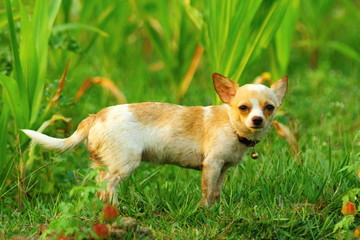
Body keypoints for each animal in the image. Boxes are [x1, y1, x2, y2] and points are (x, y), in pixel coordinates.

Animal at [21, 73, 286, 206]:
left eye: (269, 108)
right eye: (243, 108)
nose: (257, 120)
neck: (232, 126)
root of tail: (96, 116)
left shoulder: (223, 169)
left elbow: (217, 191)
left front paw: (218, 209)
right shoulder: (211, 165)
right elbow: (207, 191)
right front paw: (206, 212)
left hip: (102, 163)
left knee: (100, 187)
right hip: (125, 164)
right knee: (109, 186)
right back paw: (116, 210)